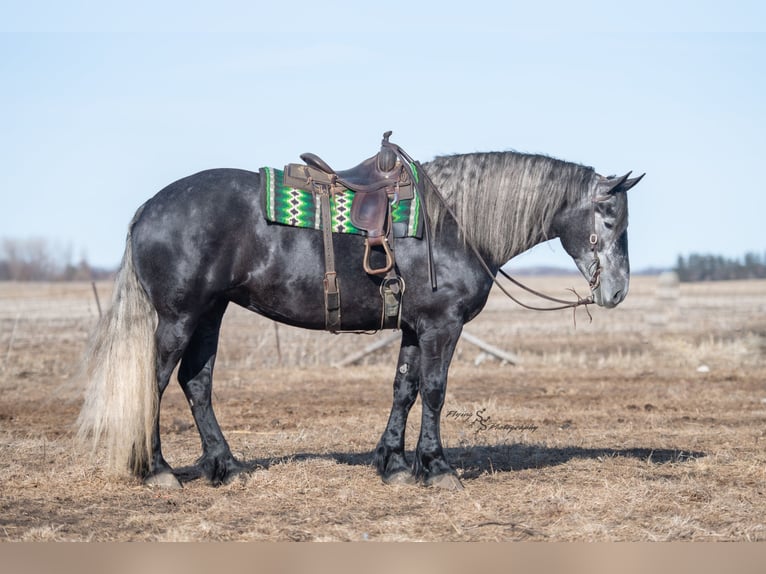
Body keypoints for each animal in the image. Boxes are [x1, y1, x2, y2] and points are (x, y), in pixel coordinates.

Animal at [77, 143, 644, 490]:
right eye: (608, 217)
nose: (617, 291)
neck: (452, 224)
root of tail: (149, 207)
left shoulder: (415, 328)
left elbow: (404, 389)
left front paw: (393, 463)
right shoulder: (441, 327)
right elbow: (434, 392)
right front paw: (437, 468)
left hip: (210, 314)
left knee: (197, 383)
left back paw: (226, 465)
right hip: (180, 316)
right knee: (155, 382)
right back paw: (158, 470)